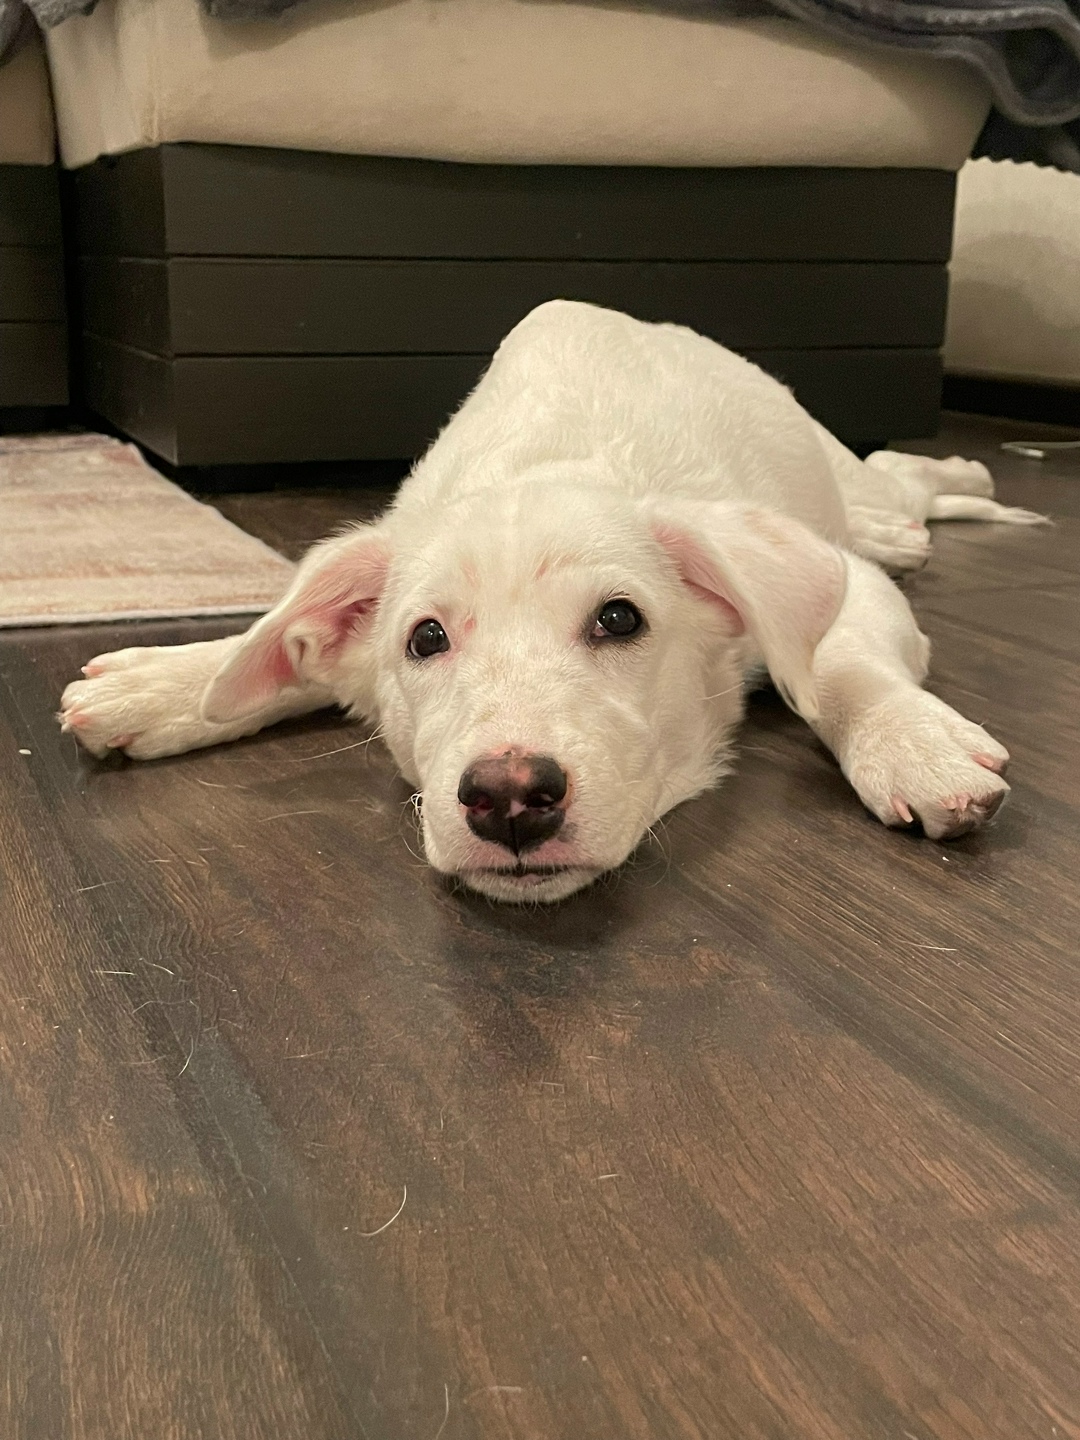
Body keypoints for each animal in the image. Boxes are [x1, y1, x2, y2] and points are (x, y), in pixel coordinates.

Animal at [60, 301, 1044, 903]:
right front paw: (163, 686)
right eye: (424, 638)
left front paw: (911, 745)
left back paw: (954, 483)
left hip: (842, 484)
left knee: (897, 478)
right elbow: (286, 662)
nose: (508, 798)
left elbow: (833, 661)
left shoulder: (841, 589)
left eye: (620, 618)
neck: (546, 464)